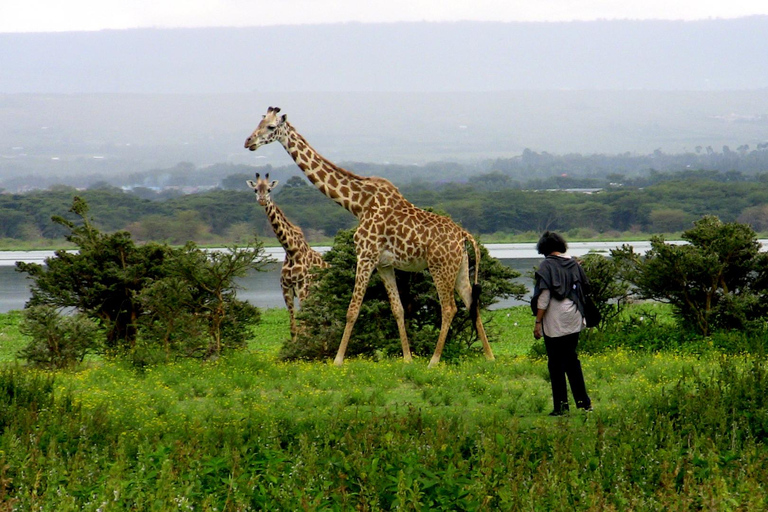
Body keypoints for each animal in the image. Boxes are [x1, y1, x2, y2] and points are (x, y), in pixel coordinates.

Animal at [248, 172, 328, 340]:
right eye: (256, 189)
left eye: (269, 189)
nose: (262, 200)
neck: (291, 251)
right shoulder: (286, 290)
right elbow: (293, 327)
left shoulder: (303, 288)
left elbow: (304, 326)